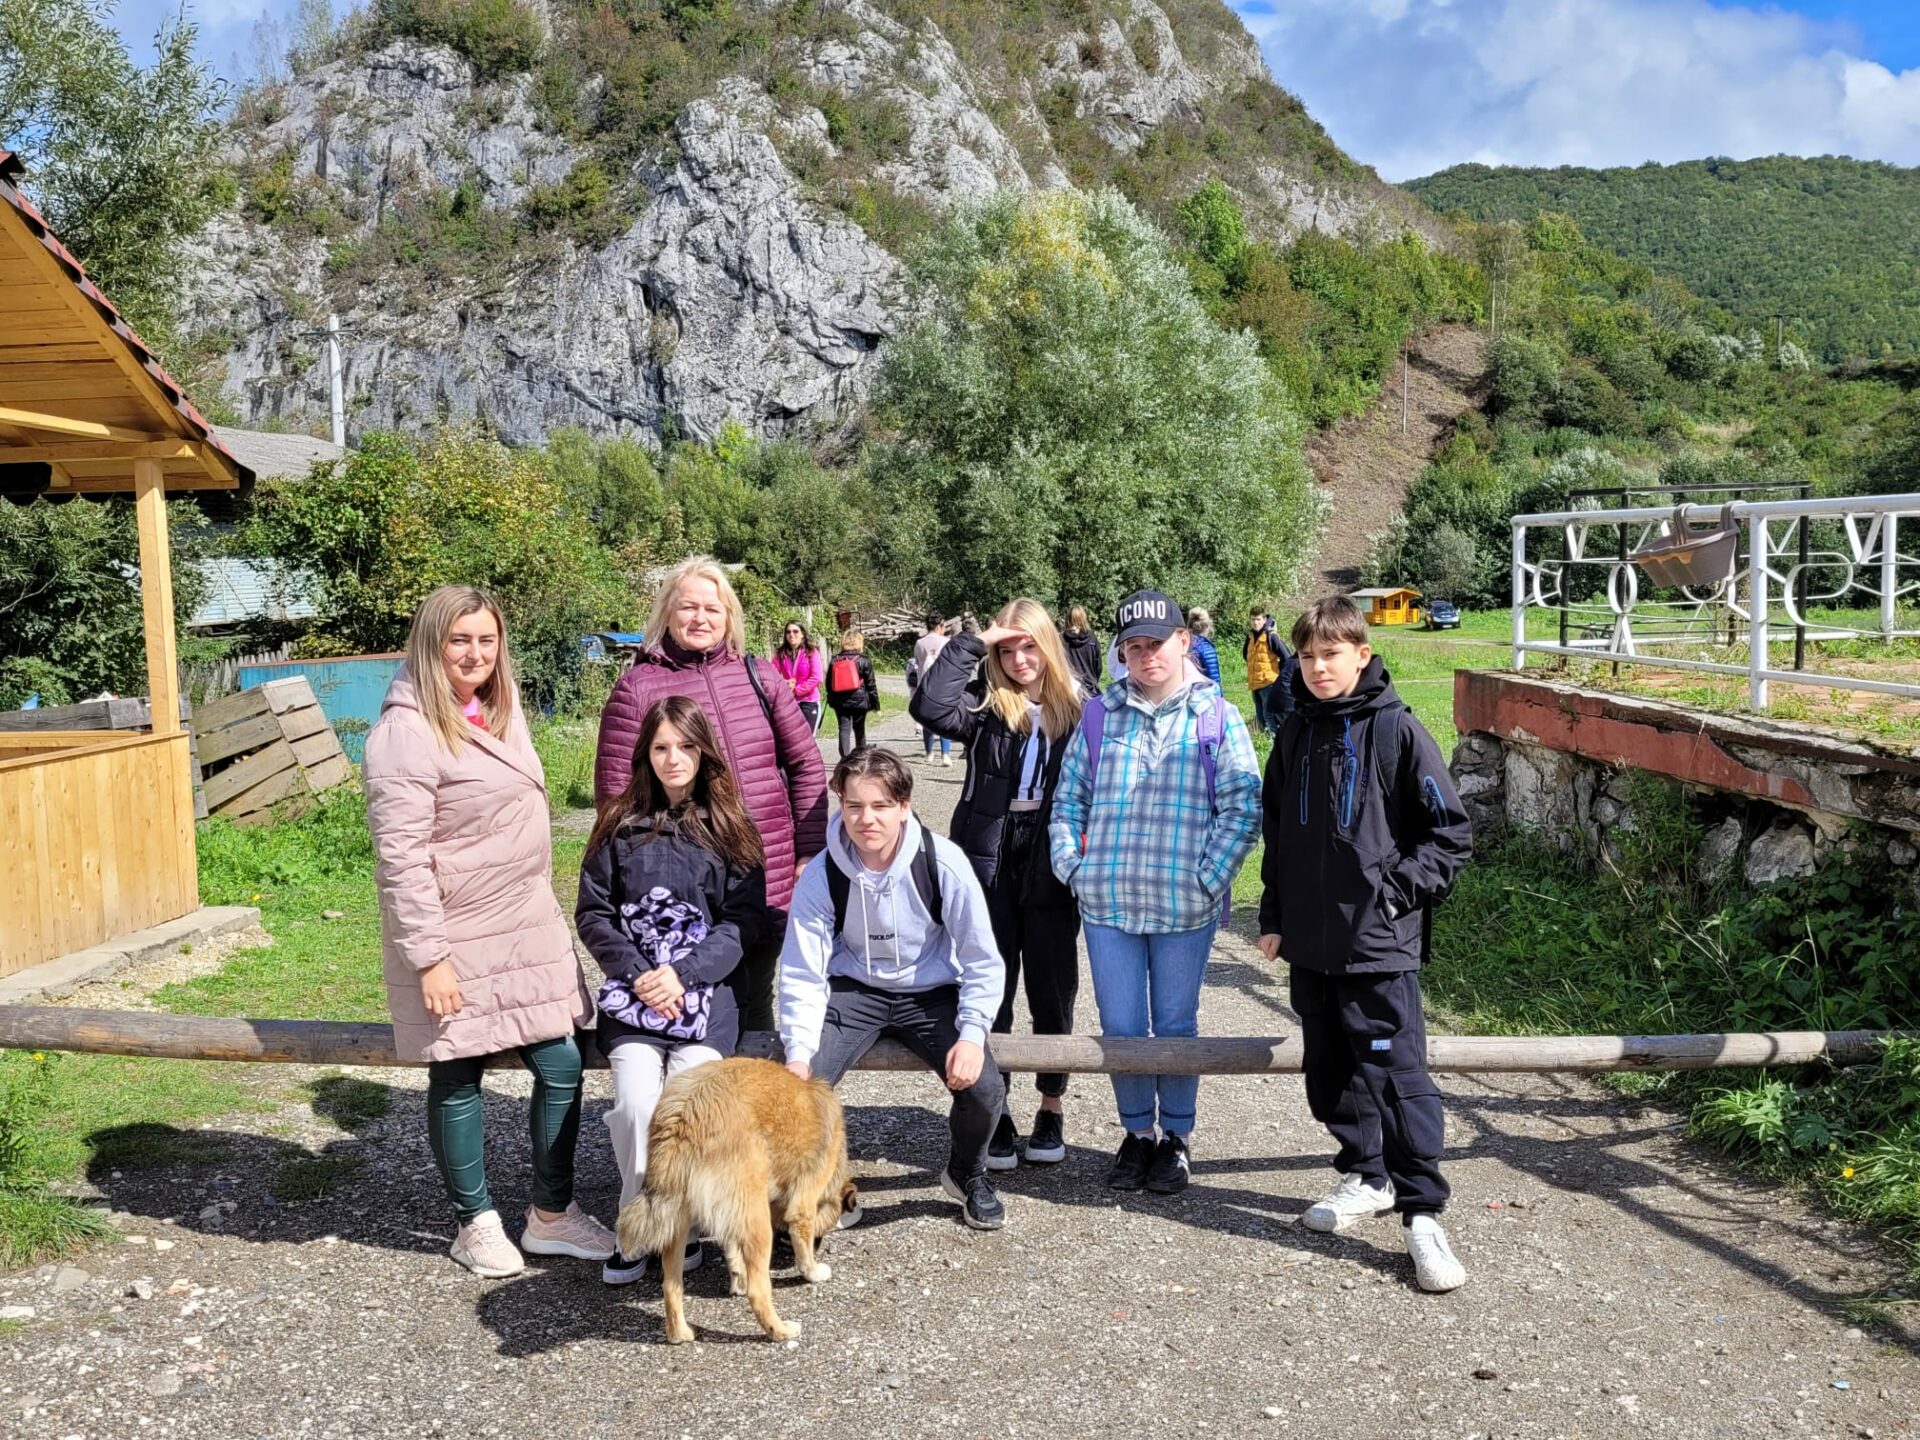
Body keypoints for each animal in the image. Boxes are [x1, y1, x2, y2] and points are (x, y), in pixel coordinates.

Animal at [614, 1052, 856, 1351]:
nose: (819, 1245)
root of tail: (684, 1116)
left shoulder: (731, 1209)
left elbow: (732, 1250)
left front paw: (737, 1280)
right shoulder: (803, 1200)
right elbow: (801, 1238)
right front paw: (812, 1269)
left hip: (678, 1220)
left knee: (670, 1285)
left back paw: (679, 1333)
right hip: (758, 1222)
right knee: (759, 1290)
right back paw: (781, 1331)